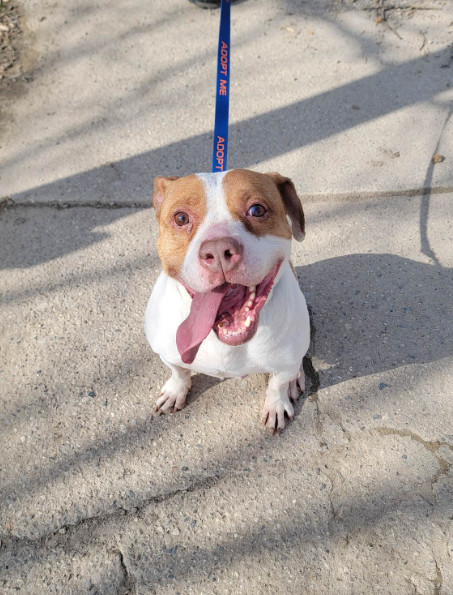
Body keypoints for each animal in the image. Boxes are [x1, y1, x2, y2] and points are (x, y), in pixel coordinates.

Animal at [146, 168, 310, 434]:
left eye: (257, 210)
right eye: (180, 218)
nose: (218, 249)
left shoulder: (284, 364)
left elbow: (277, 385)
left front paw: (276, 404)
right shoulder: (167, 353)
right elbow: (178, 371)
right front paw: (175, 390)